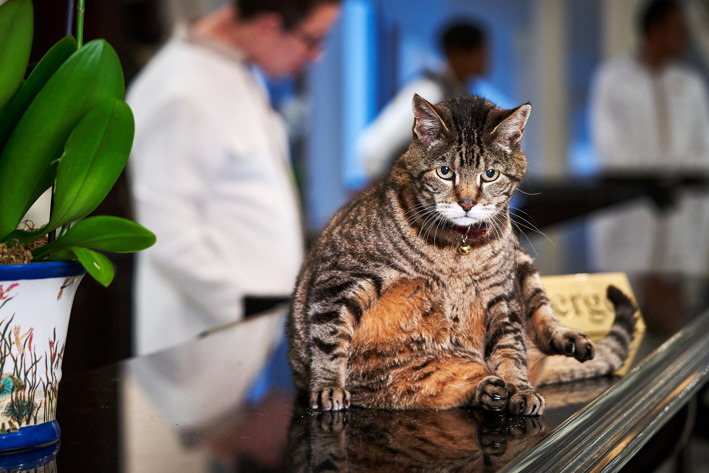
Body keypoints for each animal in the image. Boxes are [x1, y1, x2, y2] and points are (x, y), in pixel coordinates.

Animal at [288, 93, 636, 412]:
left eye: (490, 174)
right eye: (445, 172)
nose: (467, 203)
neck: (459, 249)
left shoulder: (501, 297)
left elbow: (512, 349)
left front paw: (519, 388)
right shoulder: (340, 279)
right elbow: (329, 339)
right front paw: (328, 386)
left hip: (521, 261)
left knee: (541, 320)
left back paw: (557, 348)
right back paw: (489, 390)